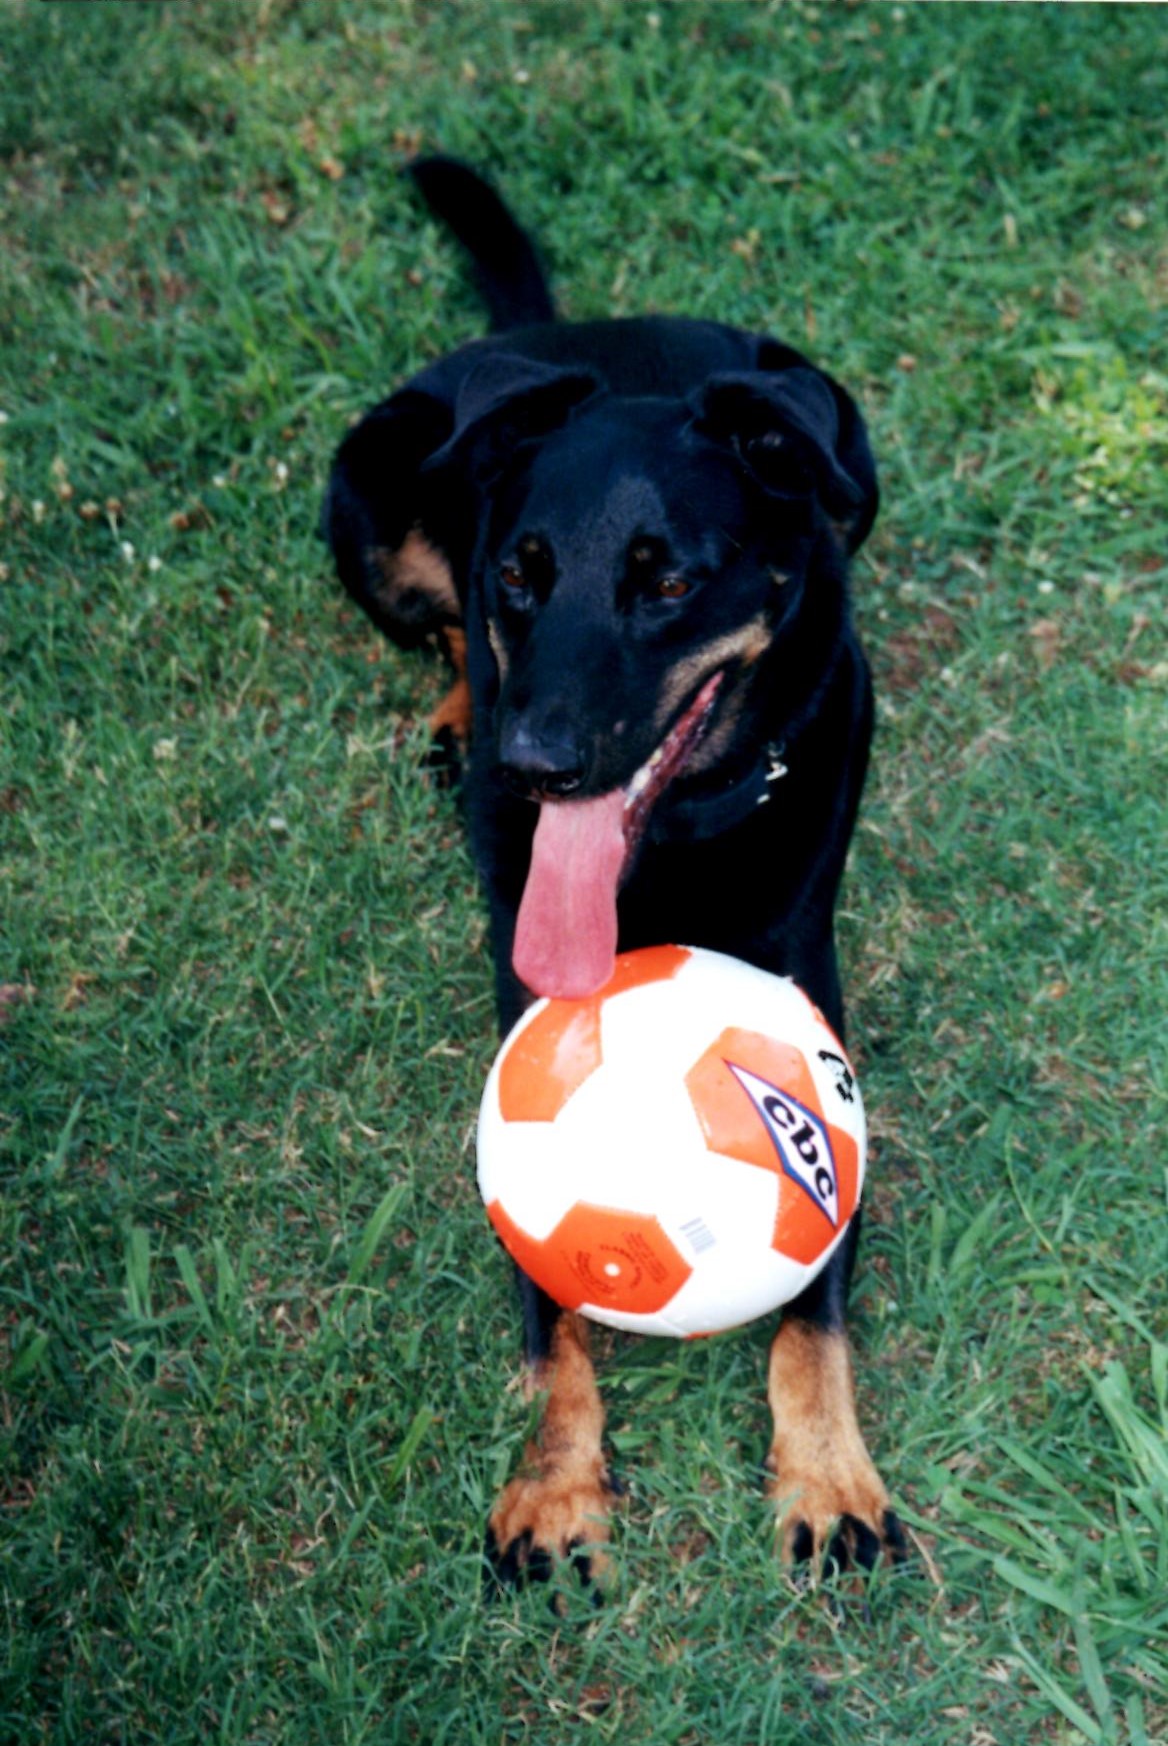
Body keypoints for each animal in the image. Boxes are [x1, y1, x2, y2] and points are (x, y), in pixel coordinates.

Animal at [322, 164, 907, 1599]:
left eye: (671, 582)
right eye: (518, 575)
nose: (531, 766)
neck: (676, 837)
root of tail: (565, 330)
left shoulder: (813, 1021)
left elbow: (812, 1307)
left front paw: (830, 1473)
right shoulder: (517, 1049)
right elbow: (547, 1316)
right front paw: (553, 1479)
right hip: (364, 510)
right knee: (432, 628)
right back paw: (451, 711)